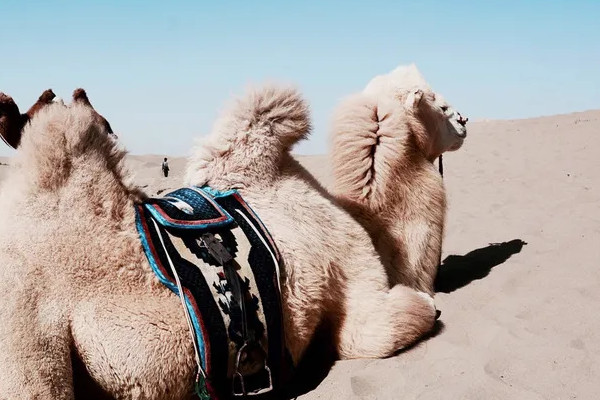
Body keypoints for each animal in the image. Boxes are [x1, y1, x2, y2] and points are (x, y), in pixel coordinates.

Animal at [0, 83, 438, 396]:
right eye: (437, 105)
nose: (457, 118)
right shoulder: (352, 281)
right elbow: (395, 321)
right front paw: (430, 306)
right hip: (26, 340)